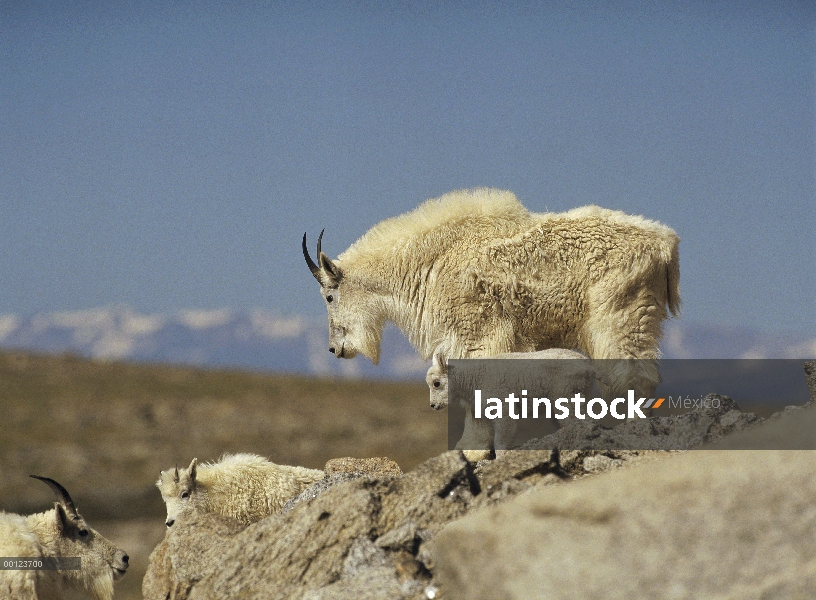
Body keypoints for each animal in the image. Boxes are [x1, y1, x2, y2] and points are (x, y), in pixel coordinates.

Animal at [302, 189, 680, 398]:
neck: (429, 263)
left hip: (621, 316)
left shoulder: (478, 335)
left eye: (329, 297)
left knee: (633, 377)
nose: (335, 349)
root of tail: (666, 243)